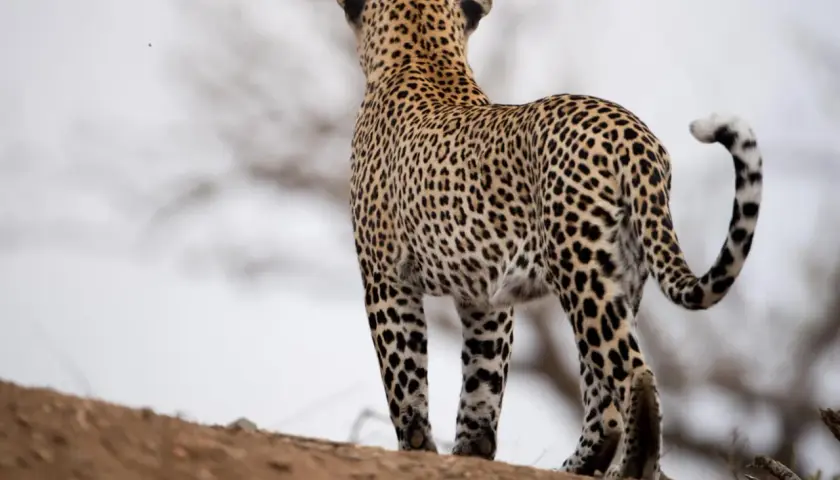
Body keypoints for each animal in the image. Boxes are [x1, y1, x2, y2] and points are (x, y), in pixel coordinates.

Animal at [335, 0, 764, 478]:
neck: (424, 53)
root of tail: (634, 135)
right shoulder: (484, 297)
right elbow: (482, 379)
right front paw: (472, 450)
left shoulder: (385, 280)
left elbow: (404, 375)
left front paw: (417, 448)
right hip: (622, 277)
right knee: (604, 401)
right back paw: (581, 465)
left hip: (580, 270)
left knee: (633, 377)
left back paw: (630, 466)